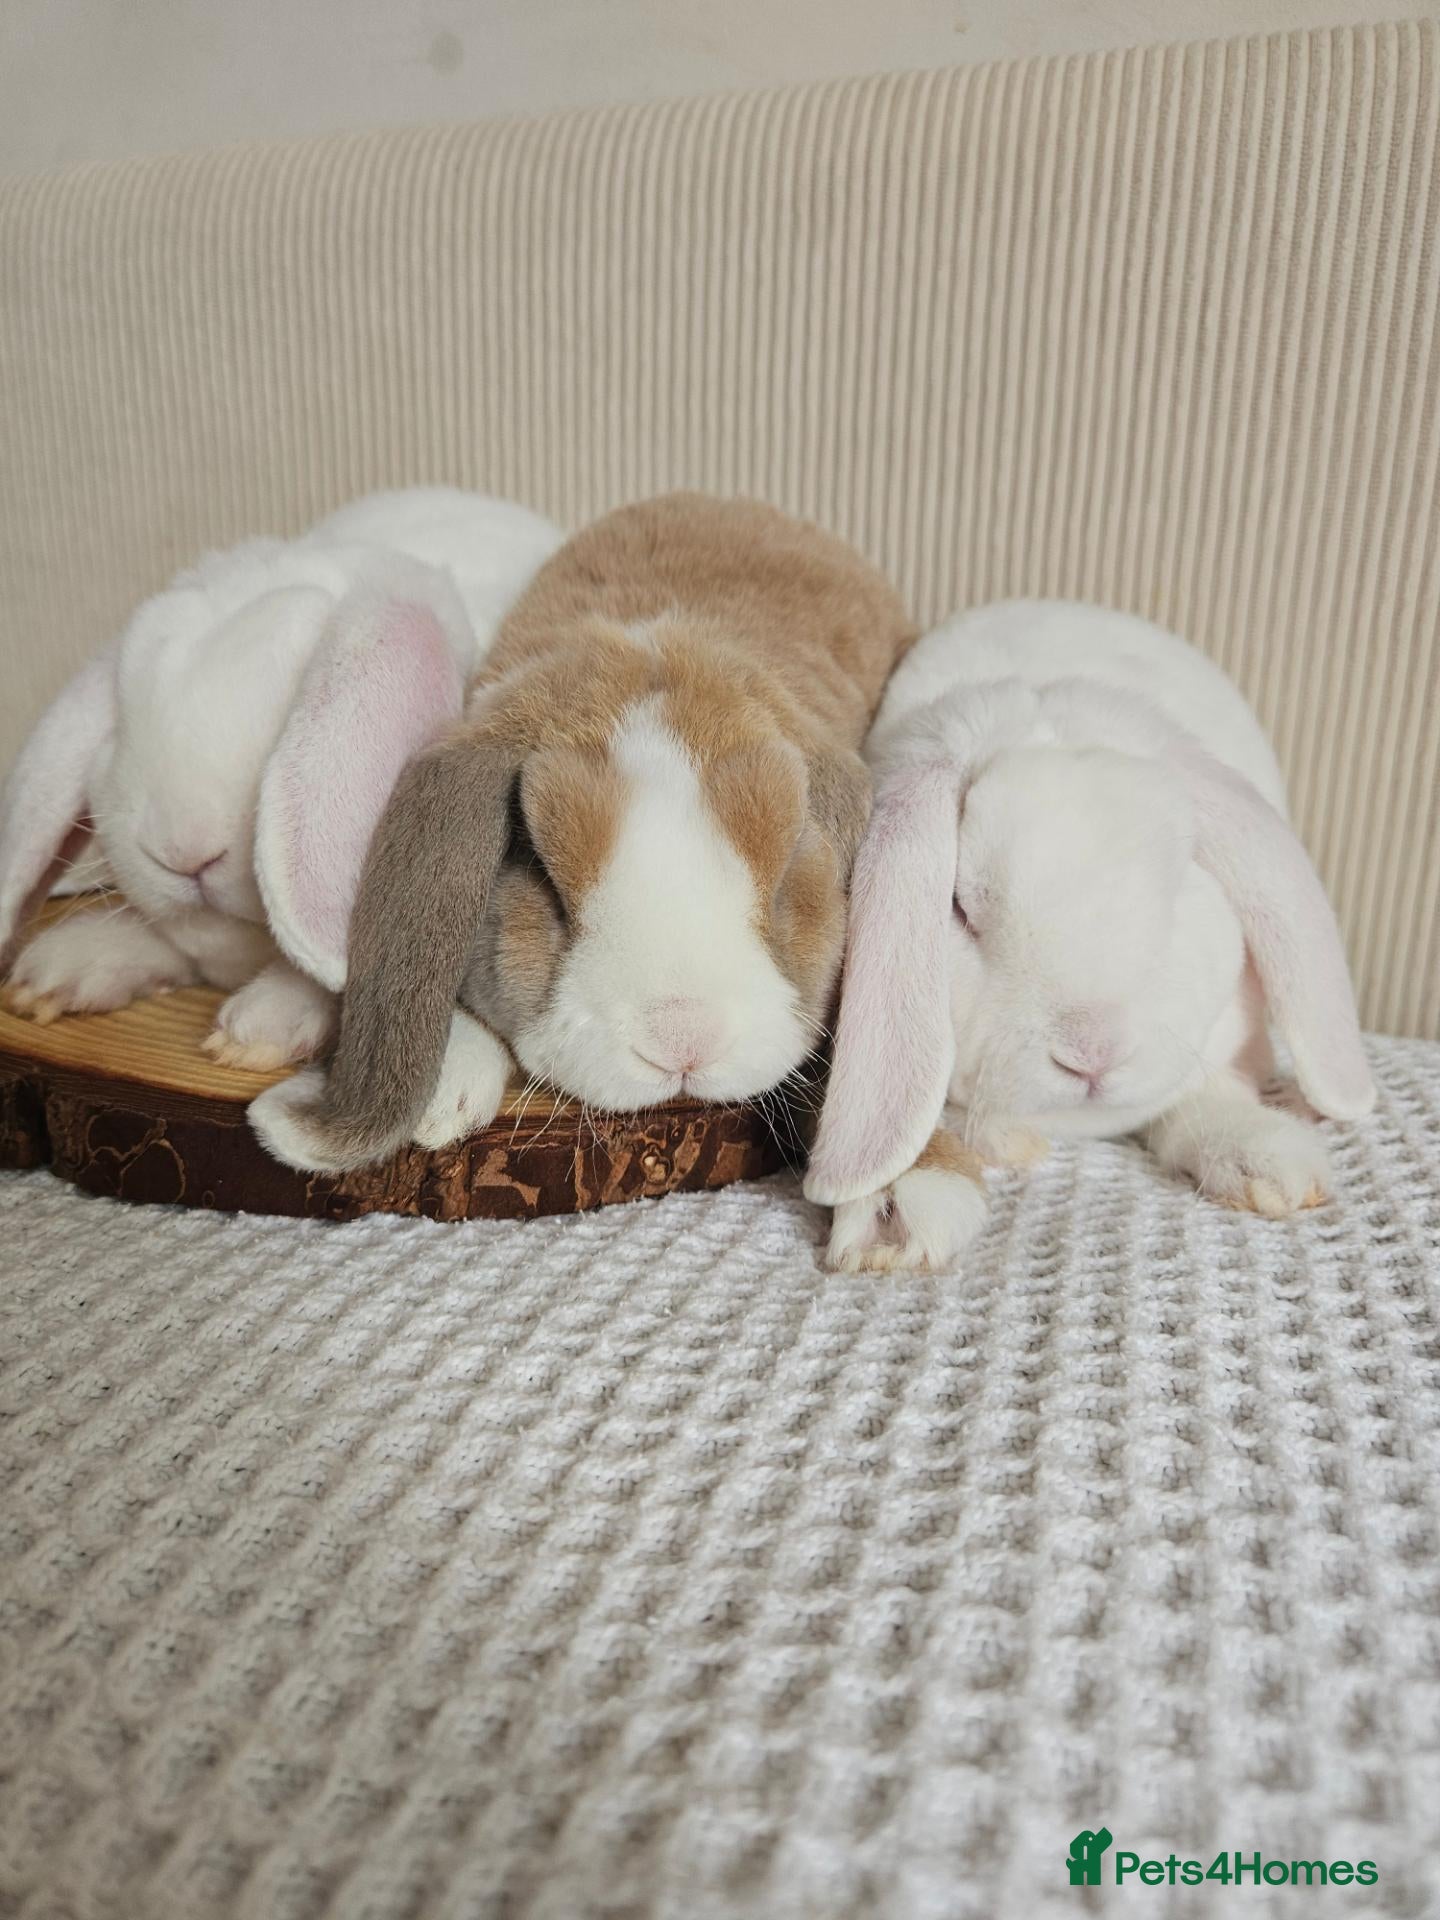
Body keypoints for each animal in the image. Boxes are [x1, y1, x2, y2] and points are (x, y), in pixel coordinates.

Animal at [803, 599, 1375, 1273]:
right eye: (962, 909)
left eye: (1179, 880)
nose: (1093, 1053)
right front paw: (897, 1211)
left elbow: (1199, 1095)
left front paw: (1271, 1161)